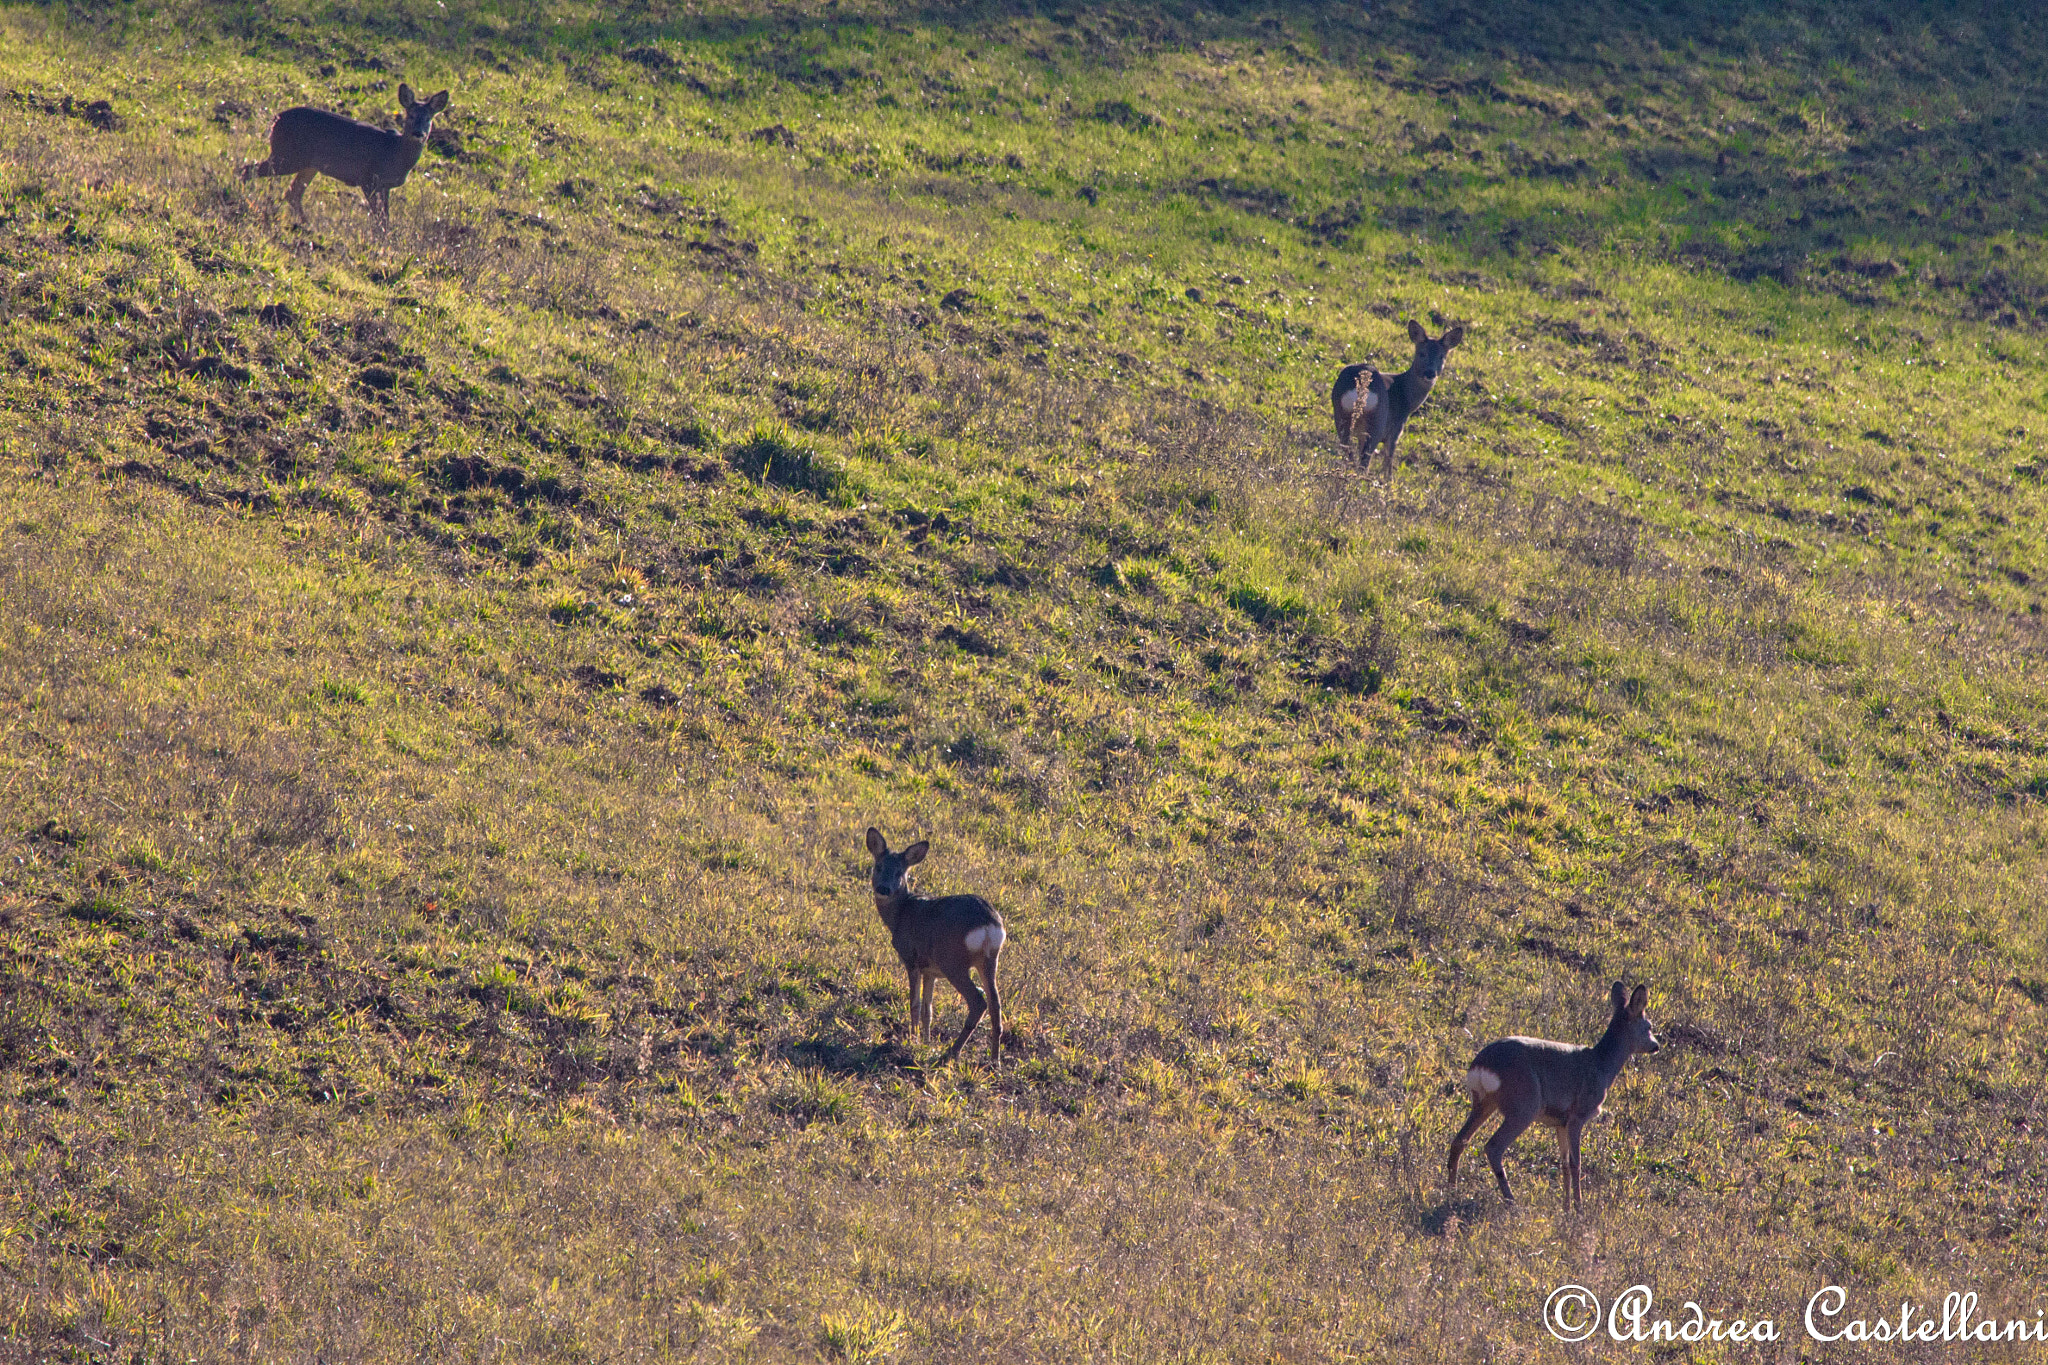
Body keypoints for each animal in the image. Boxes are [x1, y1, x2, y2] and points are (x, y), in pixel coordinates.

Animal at [241, 81, 450, 222]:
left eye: (429, 118)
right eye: (411, 115)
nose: (418, 133)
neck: (395, 152)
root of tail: (276, 119)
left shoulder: (386, 186)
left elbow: (386, 217)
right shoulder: (369, 178)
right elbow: (378, 218)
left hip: (308, 164)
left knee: (292, 194)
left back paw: (307, 225)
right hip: (289, 155)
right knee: (248, 170)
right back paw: (247, 201)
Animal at [860, 822, 1003, 1064]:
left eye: (900, 872)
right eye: (878, 867)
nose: (884, 889)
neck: (900, 915)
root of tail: (988, 924)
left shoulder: (911, 959)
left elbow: (915, 1004)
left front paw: (913, 1041)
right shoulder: (931, 971)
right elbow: (928, 1009)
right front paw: (926, 1042)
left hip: (953, 960)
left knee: (979, 1001)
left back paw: (953, 1052)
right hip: (989, 959)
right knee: (995, 1003)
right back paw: (994, 1060)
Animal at [1335, 317, 1466, 478]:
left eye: (1442, 356)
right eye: (1421, 353)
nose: (1430, 373)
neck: (1407, 398)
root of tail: (1360, 387)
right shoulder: (1395, 429)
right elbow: (1388, 464)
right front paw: (1388, 482)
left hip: (1340, 415)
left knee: (1347, 452)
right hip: (1378, 422)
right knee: (1364, 462)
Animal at [1441, 982, 1662, 1203]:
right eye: (1649, 1026)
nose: (1656, 1046)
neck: (1602, 1066)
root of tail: (1481, 1065)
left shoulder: (1559, 1122)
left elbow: (1563, 1163)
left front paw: (1566, 1206)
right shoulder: (1578, 1115)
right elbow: (1575, 1163)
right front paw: (1579, 1206)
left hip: (1483, 1101)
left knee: (1459, 1140)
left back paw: (1452, 1190)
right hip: (1523, 1105)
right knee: (1493, 1147)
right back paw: (1511, 1200)